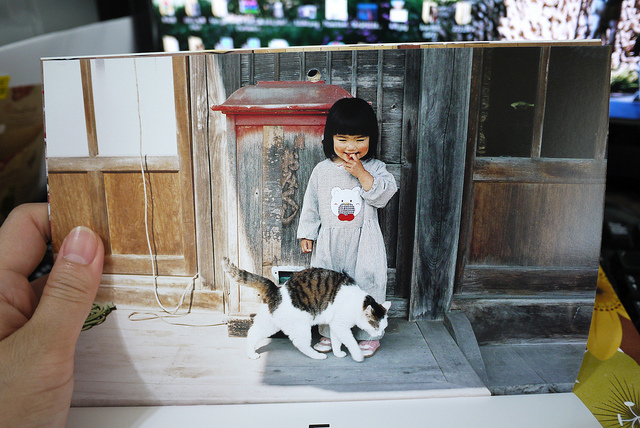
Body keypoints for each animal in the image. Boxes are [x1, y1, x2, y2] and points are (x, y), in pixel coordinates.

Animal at [223, 258, 391, 362]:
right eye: (375, 327)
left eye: (384, 327)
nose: (379, 334)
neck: (357, 302)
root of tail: (276, 290)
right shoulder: (340, 325)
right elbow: (350, 341)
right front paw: (358, 355)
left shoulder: (336, 325)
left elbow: (337, 341)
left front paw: (338, 353)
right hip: (301, 326)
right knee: (301, 344)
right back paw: (317, 356)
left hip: (269, 324)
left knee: (252, 333)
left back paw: (251, 354)